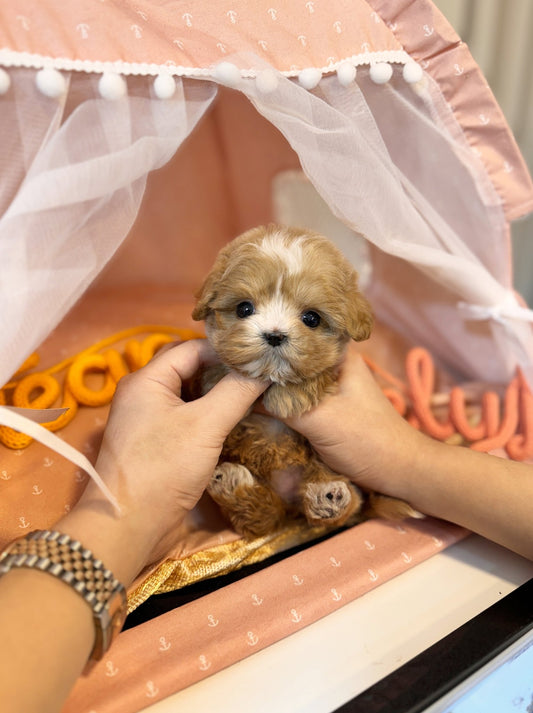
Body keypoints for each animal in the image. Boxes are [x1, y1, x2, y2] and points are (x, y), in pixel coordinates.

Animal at [192, 225, 412, 536]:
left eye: (311, 318)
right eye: (244, 309)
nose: (274, 335)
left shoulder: (335, 371)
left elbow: (319, 373)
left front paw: (289, 397)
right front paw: (216, 381)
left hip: (326, 467)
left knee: (340, 505)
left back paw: (328, 497)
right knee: (263, 518)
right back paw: (232, 486)